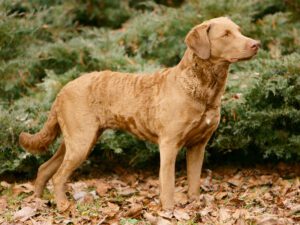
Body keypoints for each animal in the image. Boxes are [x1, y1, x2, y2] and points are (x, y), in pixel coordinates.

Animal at [18, 17, 258, 211]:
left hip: (77, 140)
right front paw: (169, 210)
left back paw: (37, 202)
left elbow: (194, 181)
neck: (201, 89)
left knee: (44, 168)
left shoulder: (198, 145)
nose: (257, 44)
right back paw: (63, 205)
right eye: (225, 35)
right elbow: (168, 183)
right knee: (58, 176)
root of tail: (62, 90)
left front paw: (195, 205)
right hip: (81, 141)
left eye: (239, 30)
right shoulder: (169, 144)